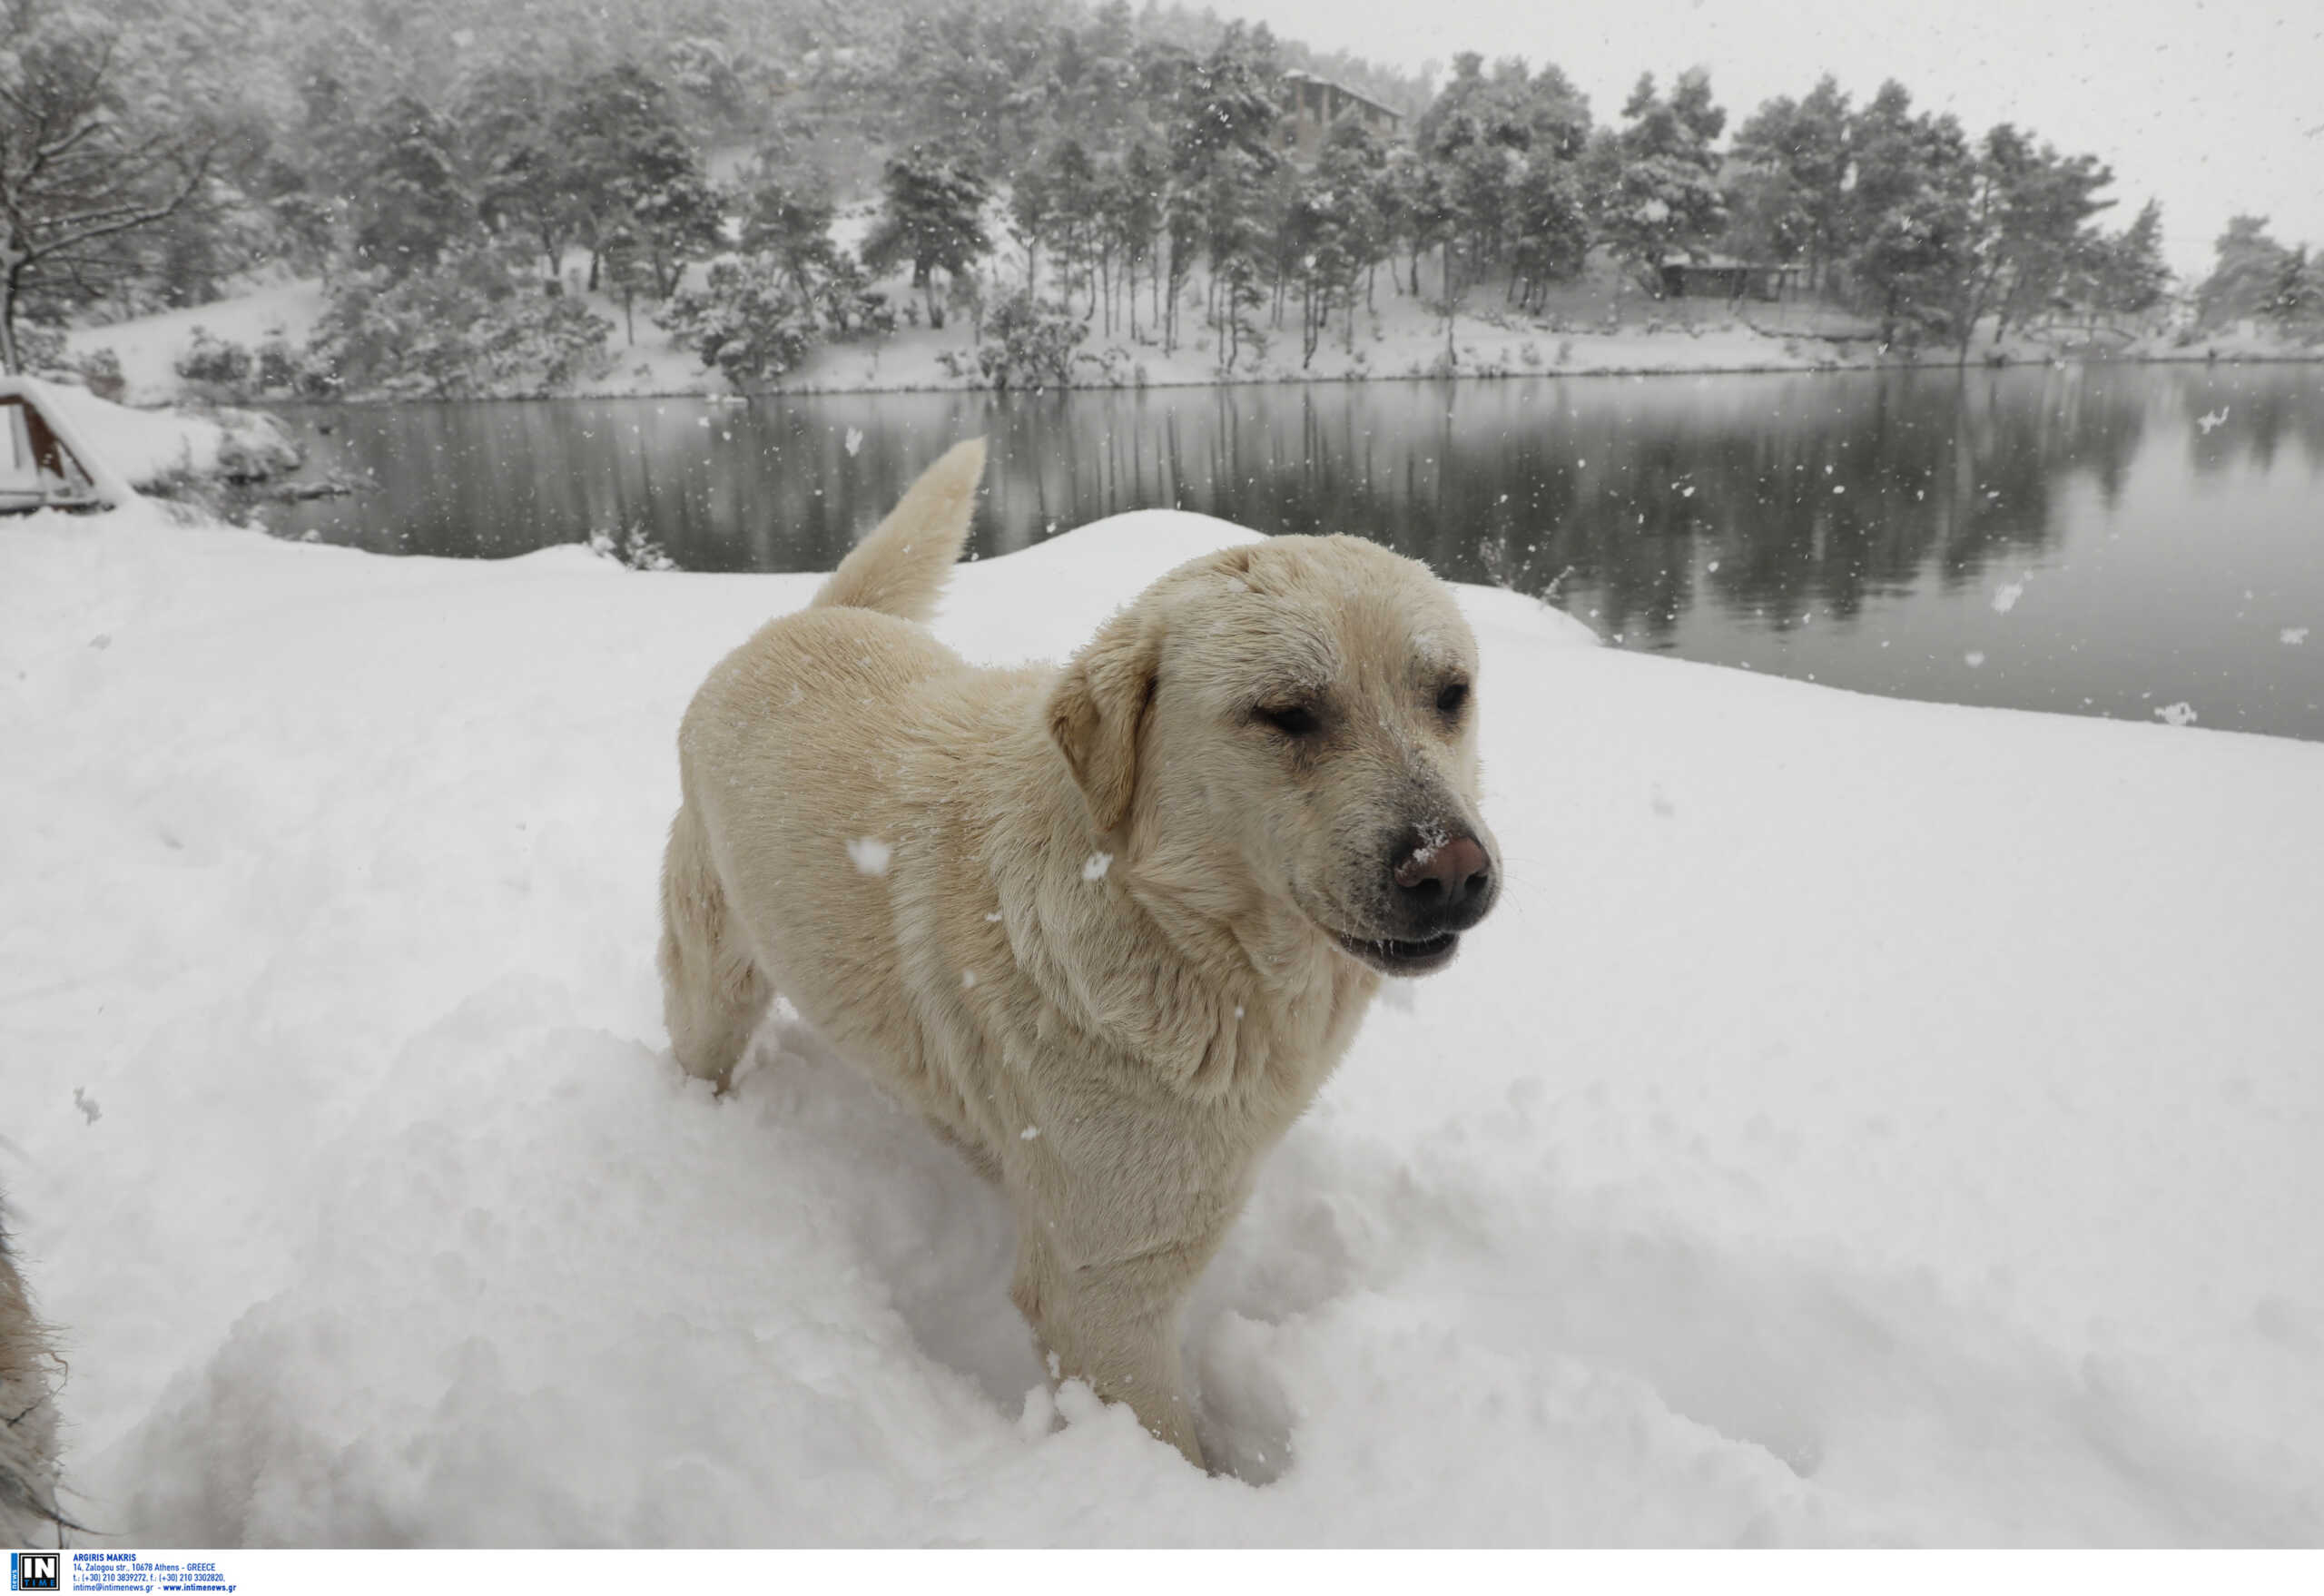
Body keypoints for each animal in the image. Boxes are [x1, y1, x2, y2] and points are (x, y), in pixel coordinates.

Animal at [665, 443, 1496, 1468]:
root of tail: (799, 619)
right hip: (712, 980)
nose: (1451, 871)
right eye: (1287, 714)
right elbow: (1164, 1437)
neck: (1174, 936)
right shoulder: (1103, 1292)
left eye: (1449, 694)